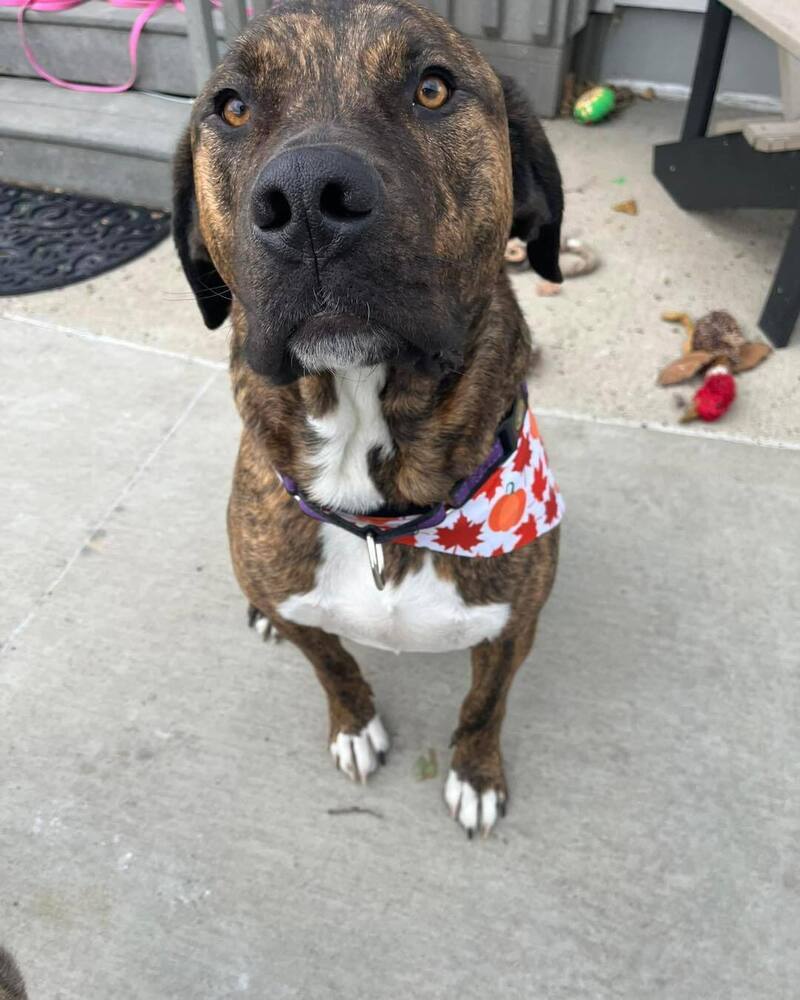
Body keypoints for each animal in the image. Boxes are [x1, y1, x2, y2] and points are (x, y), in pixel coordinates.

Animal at [173, 0, 564, 836]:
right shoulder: (303, 613)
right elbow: (334, 664)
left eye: (433, 89)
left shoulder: (513, 628)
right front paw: (354, 726)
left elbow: (485, 705)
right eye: (232, 106)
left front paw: (475, 775)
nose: (307, 199)